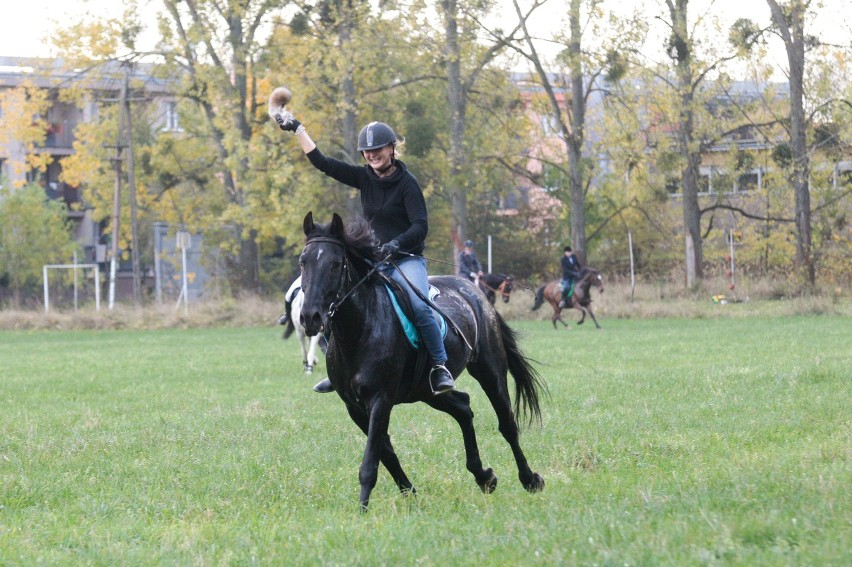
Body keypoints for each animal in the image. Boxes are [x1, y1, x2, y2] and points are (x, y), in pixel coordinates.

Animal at [296, 214, 544, 516]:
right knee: (463, 408)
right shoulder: (354, 407)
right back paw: (484, 477)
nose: (310, 317)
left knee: (506, 423)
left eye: (335, 263)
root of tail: (476, 293)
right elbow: (385, 453)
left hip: (490, 371)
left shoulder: (380, 400)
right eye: (303, 261)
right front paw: (410, 495)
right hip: (426, 391)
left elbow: (371, 461)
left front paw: (363, 511)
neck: (360, 329)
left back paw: (529, 479)